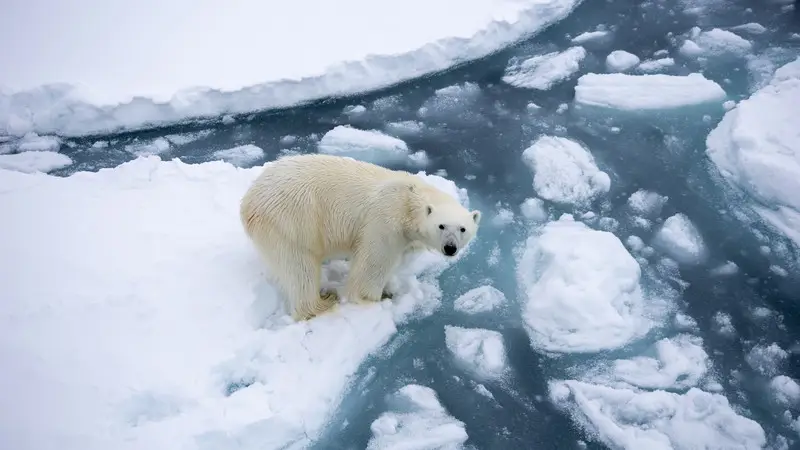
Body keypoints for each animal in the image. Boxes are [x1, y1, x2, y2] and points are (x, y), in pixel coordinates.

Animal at [236, 154, 476, 320]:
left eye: (463, 229)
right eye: (441, 226)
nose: (450, 248)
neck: (409, 199)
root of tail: (248, 200)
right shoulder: (385, 220)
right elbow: (373, 264)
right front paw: (379, 296)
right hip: (292, 220)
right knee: (299, 267)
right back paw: (323, 302)